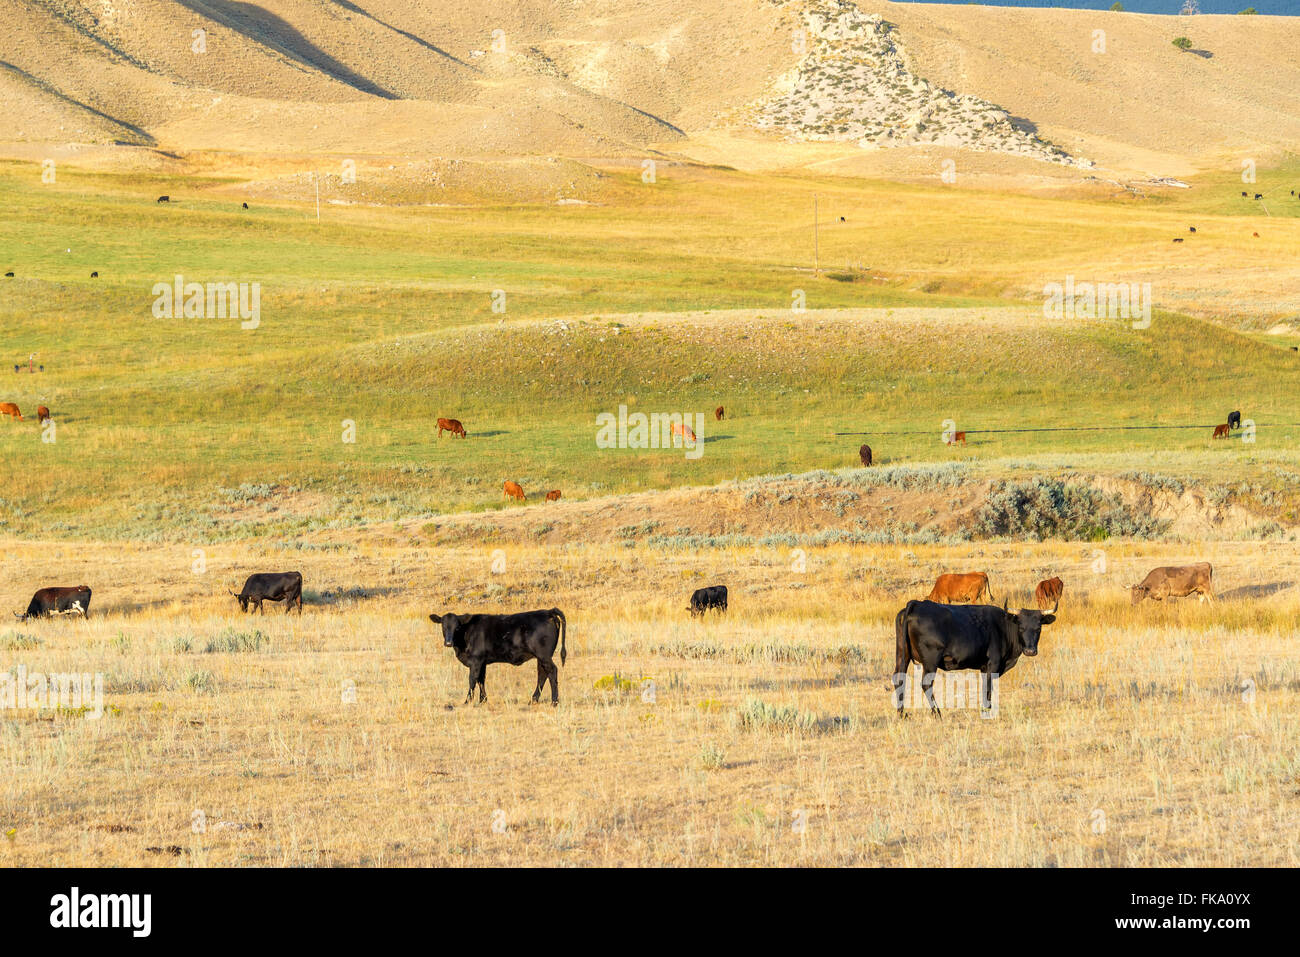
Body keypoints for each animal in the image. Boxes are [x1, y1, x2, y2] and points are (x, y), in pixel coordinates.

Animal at [428, 608, 566, 707]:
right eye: (443, 626)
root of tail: (548, 611)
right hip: (540, 657)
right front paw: (482, 700)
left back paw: (554, 702)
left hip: (544, 655)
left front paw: (467, 701)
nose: (448, 643)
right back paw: (533, 700)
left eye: (457, 627)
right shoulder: (482, 662)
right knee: (542, 674)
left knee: (552, 671)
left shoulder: (476, 660)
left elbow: (472, 679)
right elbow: (481, 680)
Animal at [894, 598, 1055, 717]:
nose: (1030, 651)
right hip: (930, 661)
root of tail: (917, 604)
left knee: (899, 679)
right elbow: (988, 687)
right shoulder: (993, 664)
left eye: (1038, 628)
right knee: (926, 684)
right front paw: (987, 710)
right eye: (1021, 627)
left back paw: (902, 713)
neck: (1003, 626)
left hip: (902, 654)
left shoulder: (984, 668)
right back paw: (937, 712)